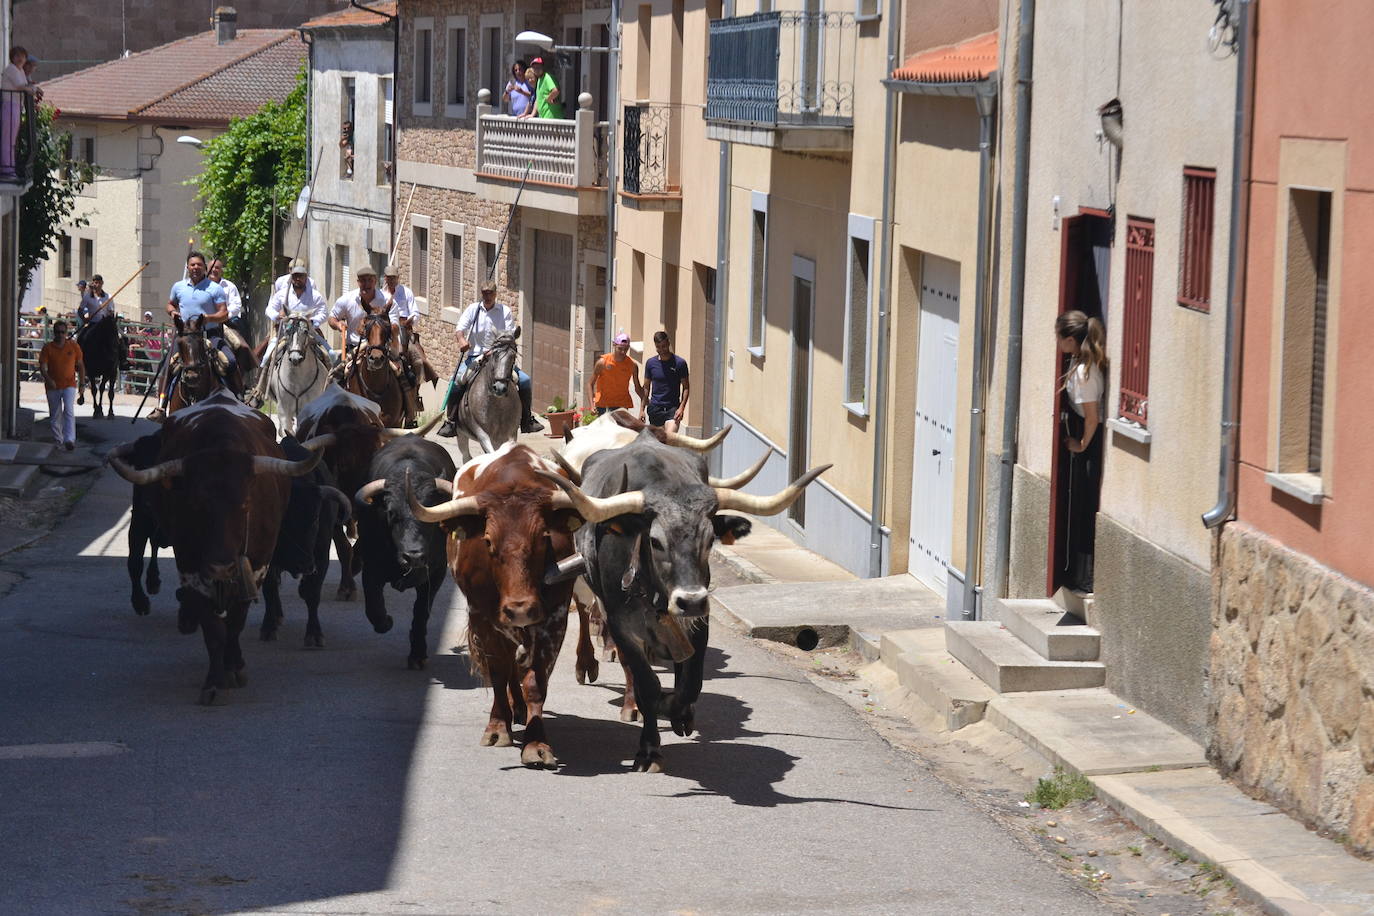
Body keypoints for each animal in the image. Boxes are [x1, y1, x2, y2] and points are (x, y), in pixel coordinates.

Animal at [108, 390, 320, 708]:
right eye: (195, 505)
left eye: (245, 504)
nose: (222, 566)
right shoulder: (191, 566)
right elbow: (213, 628)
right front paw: (214, 681)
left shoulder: (256, 566)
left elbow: (235, 621)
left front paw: (234, 667)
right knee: (137, 560)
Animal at [409, 444, 599, 769]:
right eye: (487, 541)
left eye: (544, 538)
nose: (520, 608)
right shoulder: (483, 617)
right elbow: (498, 671)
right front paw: (498, 727)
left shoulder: (554, 618)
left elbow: (536, 682)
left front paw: (536, 743)